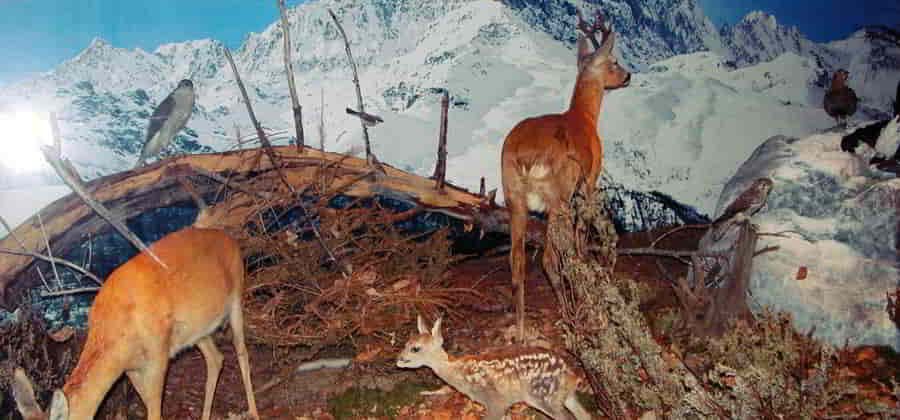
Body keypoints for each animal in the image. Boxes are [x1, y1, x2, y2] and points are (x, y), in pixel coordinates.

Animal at [12, 225, 258, 420]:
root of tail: (229, 238)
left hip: (236, 298)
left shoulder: (159, 356)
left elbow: (155, 413)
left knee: (242, 352)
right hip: (197, 331)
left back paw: (253, 412)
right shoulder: (130, 369)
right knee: (216, 358)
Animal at [398, 316, 588, 418]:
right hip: (564, 396)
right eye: (406, 343)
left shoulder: (495, 400)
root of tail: (570, 374)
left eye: (415, 348)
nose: (399, 359)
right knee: (584, 415)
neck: (462, 373)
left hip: (543, 396)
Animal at [500, 10, 632, 342]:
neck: (585, 119)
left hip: (513, 197)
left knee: (516, 260)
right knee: (548, 259)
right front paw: (586, 264)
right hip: (556, 195)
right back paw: (571, 313)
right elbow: (582, 233)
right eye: (614, 61)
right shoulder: (589, 180)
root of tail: (524, 157)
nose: (628, 76)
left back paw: (521, 329)